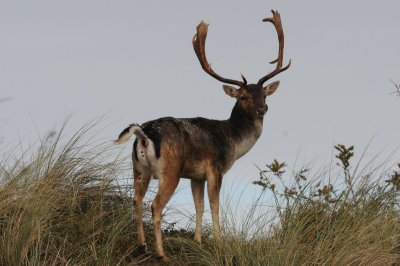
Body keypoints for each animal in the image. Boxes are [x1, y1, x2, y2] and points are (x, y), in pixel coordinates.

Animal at [115, 9, 290, 262]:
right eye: (243, 97)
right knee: (155, 205)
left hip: (138, 168)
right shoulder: (215, 168)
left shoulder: (196, 175)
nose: (262, 109)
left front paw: (197, 241)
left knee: (136, 200)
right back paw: (161, 254)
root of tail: (144, 134)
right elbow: (215, 204)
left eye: (264, 95)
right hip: (170, 170)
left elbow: (199, 205)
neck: (233, 142)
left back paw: (142, 246)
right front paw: (218, 243)